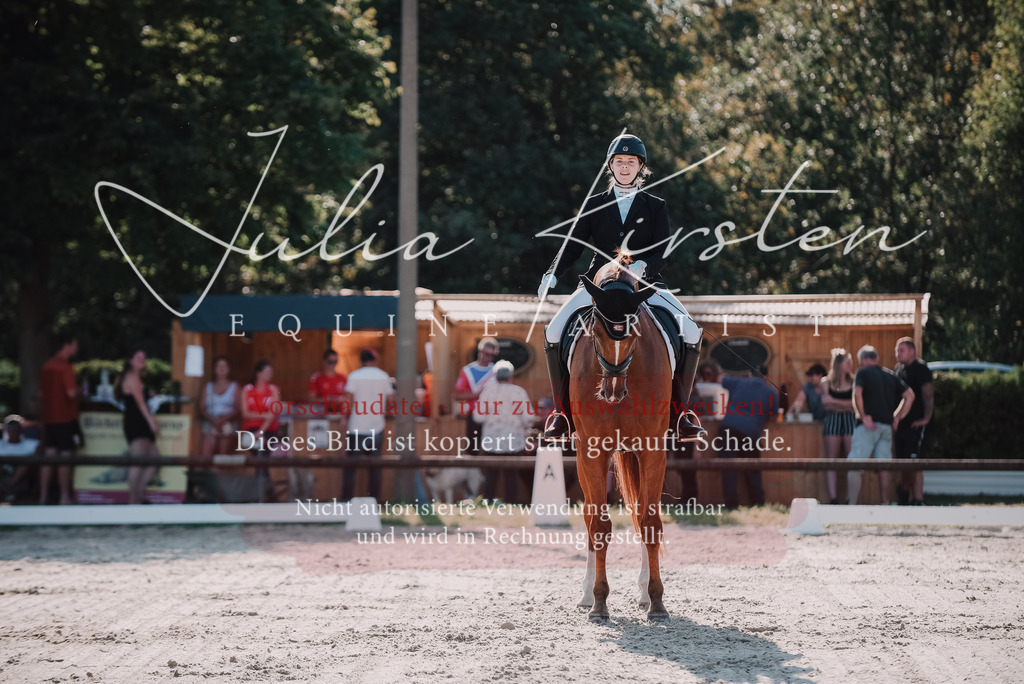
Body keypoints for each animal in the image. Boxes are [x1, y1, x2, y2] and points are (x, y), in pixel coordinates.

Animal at [570, 253, 673, 621]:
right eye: (596, 331)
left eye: (634, 331)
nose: (612, 391)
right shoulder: (592, 451)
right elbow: (599, 527)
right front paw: (599, 602)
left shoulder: (652, 450)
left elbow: (650, 522)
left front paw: (656, 601)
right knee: (590, 517)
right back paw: (586, 594)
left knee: (641, 514)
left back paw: (643, 591)